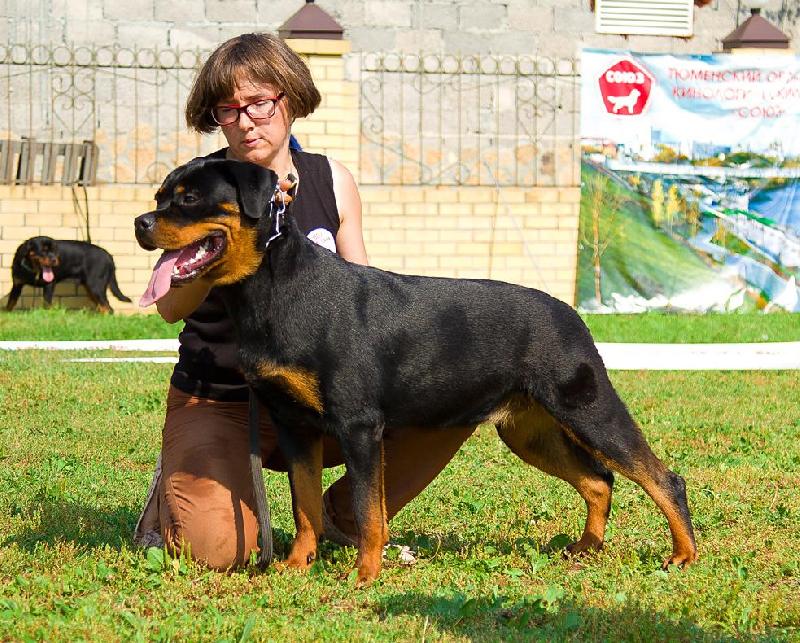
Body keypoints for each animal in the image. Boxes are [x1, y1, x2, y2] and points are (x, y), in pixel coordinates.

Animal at [134, 158, 697, 585]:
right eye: (161, 195)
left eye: (189, 199)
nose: (141, 223)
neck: (274, 289)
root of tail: (571, 313)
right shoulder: (295, 426)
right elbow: (305, 505)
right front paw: (297, 565)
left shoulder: (359, 426)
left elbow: (368, 512)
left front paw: (363, 575)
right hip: (528, 431)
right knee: (599, 480)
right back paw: (586, 548)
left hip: (588, 407)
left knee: (660, 477)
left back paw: (683, 555)